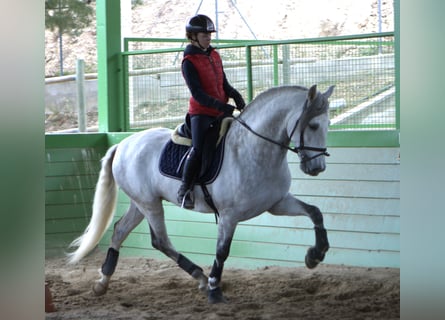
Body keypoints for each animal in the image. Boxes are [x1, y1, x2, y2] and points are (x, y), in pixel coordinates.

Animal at [68, 84, 332, 304]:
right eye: (313, 125)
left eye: (327, 126)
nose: (317, 168)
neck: (253, 150)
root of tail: (123, 144)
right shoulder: (229, 215)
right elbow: (222, 252)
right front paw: (215, 291)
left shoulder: (277, 203)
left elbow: (315, 212)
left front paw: (315, 254)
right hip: (149, 204)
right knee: (160, 240)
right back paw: (202, 278)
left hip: (140, 203)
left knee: (121, 231)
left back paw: (103, 282)